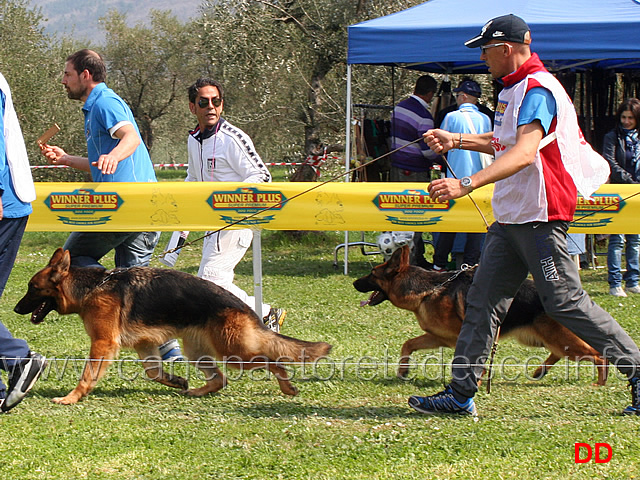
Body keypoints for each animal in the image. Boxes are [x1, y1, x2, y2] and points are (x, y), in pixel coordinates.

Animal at [13, 249, 332, 404]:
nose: (15, 309)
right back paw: (196, 391)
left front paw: (71, 398)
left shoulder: (103, 343)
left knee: (271, 360)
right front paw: (175, 380)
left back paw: (287, 385)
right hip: (198, 352)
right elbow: (153, 372)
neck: (92, 288)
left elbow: (87, 376)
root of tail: (242, 306)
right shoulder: (144, 344)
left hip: (234, 353)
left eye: (32, 288)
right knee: (221, 379)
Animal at [352, 246, 608, 384]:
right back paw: (539, 372)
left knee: (598, 355)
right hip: (539, 339)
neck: (428, 289)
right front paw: (403, 370)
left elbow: (469, 359)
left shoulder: (460, 337)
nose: (354, 283)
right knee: (560, 354)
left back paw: (599, 383)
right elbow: (408, 344)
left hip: (558, 339)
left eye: (372, 274)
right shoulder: (438, 337)